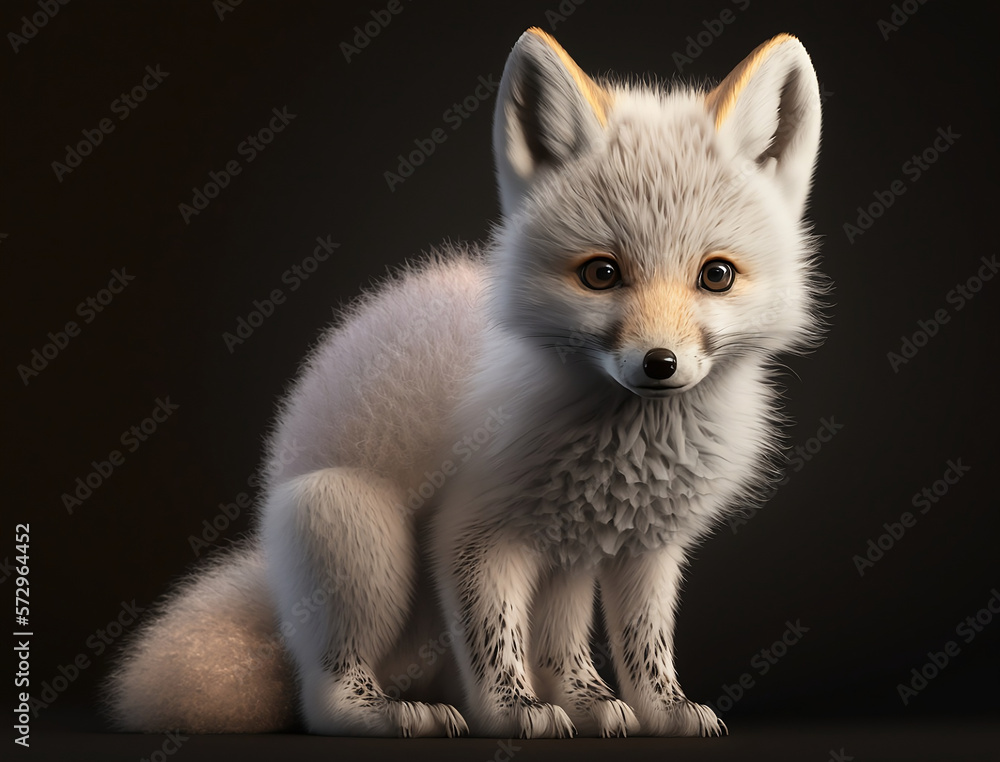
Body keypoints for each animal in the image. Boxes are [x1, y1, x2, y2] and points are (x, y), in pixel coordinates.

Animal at [106, 28, 825, 738]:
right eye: (601, 274)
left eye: (717, 275)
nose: (658, 364)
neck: (626, 453)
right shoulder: (472, 532)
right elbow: (494, 638)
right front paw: (514, 712)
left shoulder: (638, 547)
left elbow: (643, 646)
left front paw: (658, 710)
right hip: (362, 535)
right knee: (323, 696)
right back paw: (394, 712)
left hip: (554, 562)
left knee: (556, 651)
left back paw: (584, 703)